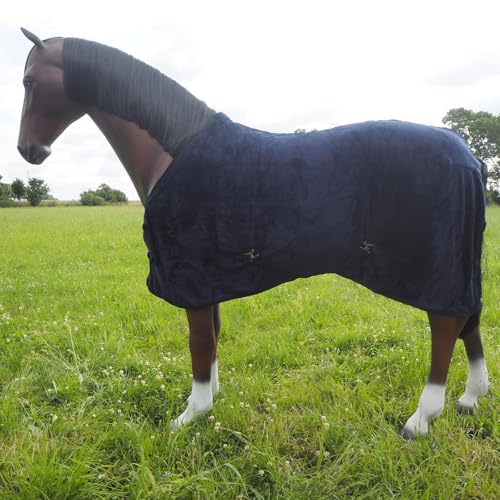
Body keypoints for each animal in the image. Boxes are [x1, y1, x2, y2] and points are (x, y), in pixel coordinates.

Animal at [16, 29, 488, 440]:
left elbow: (200, 342)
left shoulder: (191, 275)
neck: (173, 150)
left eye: (28, 80)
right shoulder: (208, 279)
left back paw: (422, 419)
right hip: (461, 268)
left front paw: (192, 413)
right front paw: (210, 397)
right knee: (468, 319)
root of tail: (468, 156)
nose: (28, 150)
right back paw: (471, 397)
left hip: (438, 269)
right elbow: (213, 338)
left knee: (446, 325)